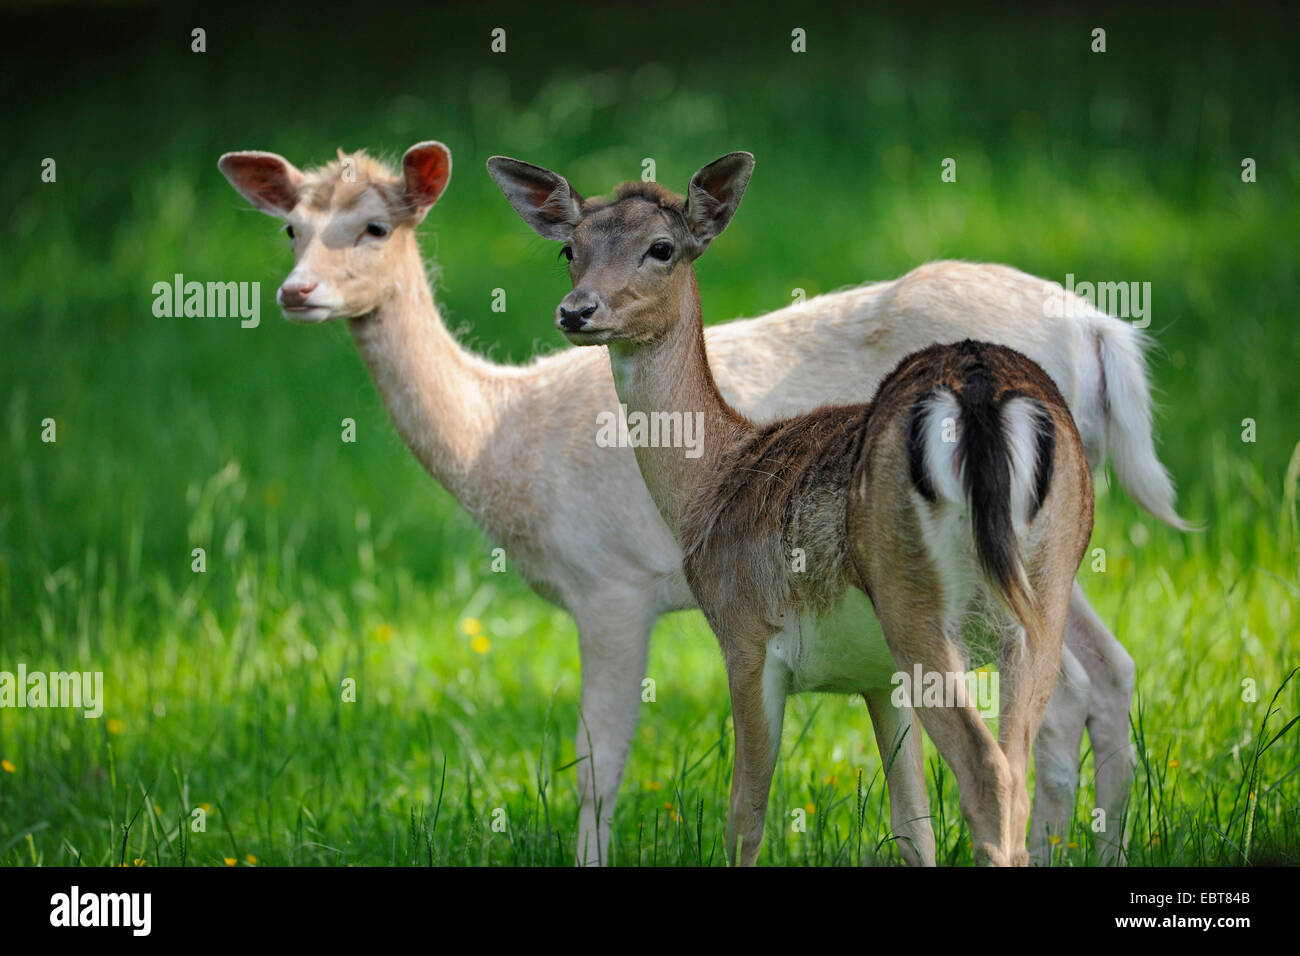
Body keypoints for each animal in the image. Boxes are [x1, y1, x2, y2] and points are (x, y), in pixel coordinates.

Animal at [493, 151, 1097, 868]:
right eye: (570, 249)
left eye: (661, 248)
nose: (576, 311)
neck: (709, 481)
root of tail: (980, 387)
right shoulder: (877, 676)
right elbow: (911, 822)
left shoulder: (745, 631)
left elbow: (745, 813)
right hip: (1043, 596)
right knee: (1018, 769)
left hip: (915, 604)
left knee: (990, 774)